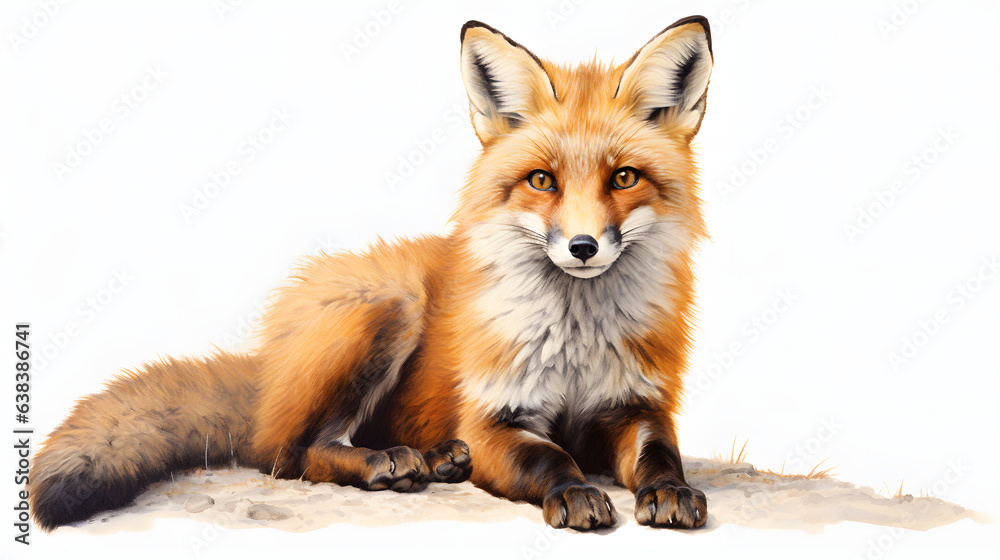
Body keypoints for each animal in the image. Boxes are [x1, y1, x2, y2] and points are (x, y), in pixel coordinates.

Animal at [29, 16, 714, 532]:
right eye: (542, 180)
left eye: (623, 177)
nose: (582, 247)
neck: (575, 343)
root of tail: (268, 365)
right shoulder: (494, 420)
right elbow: (549, 460)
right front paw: (572, 492)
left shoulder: (636, 404)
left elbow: (660, 453)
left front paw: (670, 491)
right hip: (389, 306)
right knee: (286, 454)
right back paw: (386, 462)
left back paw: (436, 458)